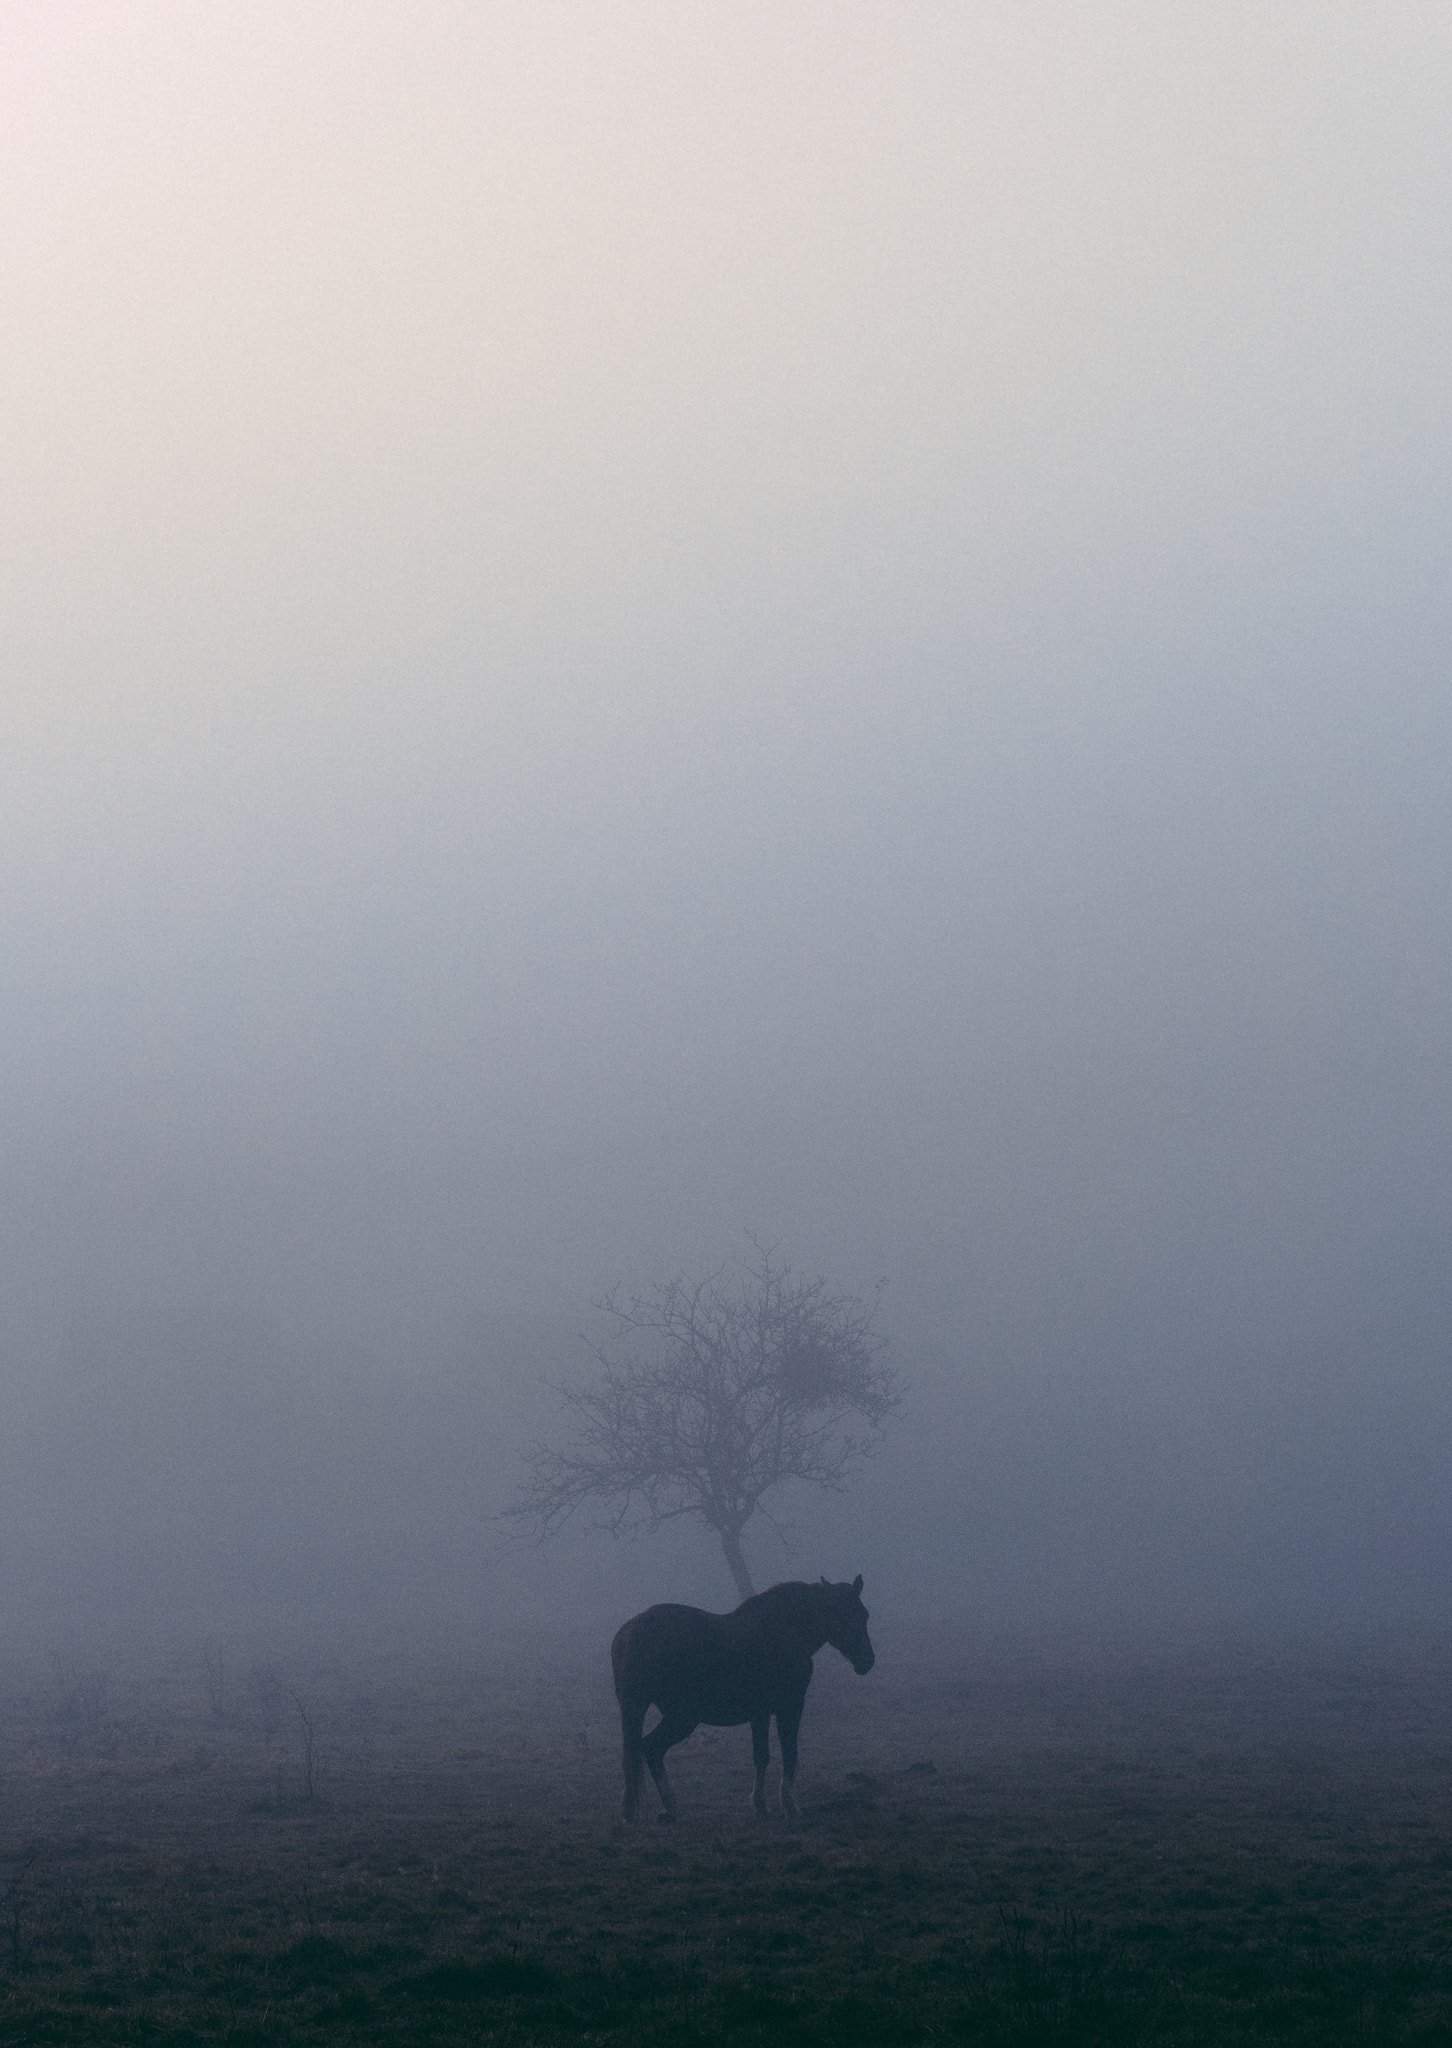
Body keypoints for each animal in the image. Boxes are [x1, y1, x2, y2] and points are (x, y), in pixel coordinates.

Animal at [610, 1564, 872, 1826]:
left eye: (864, 1614)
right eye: (846, 1614)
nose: (867, 1662)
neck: (784, 1633)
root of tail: (627, 1634)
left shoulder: (761, 1713)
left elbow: (761, 1756)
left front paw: (760, 1805)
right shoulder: (790, 1706)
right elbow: (790, 1754)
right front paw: (790, 1805)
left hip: (655, 1711)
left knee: (646, 1750)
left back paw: (659, 1810)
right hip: (682, 1716)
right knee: (648, 1748)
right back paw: (658, 1809)